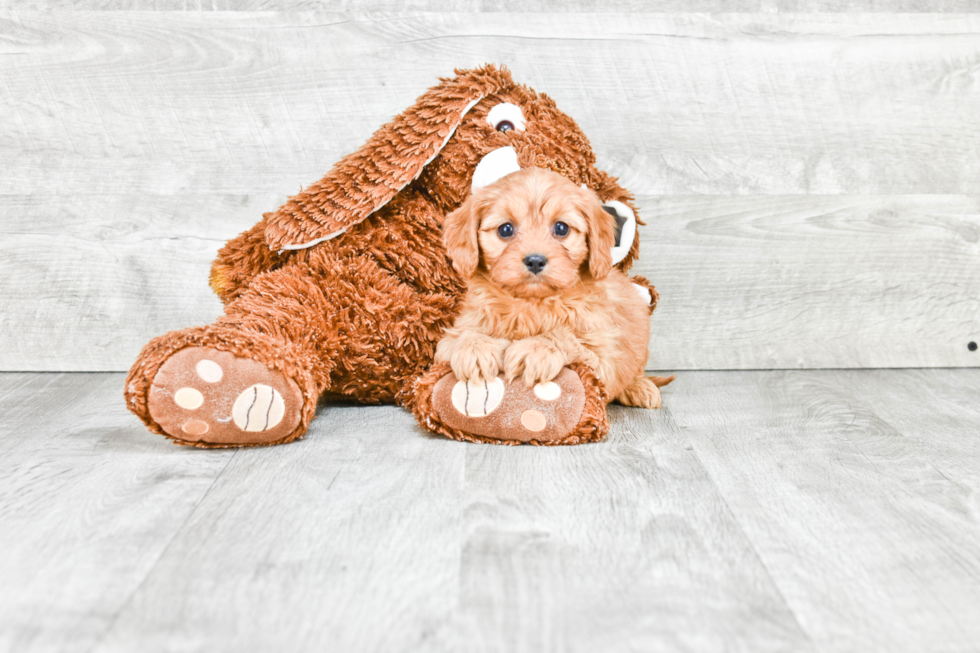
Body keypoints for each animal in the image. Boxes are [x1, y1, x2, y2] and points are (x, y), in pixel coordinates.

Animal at [436, 166, 668, 408]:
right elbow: (462, 336)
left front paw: (536, 348)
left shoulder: (603, 360)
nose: (535, 261)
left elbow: (565, 337)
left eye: (561, 228)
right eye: (505, 229)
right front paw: (474, 347)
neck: (530, 303)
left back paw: (640, 387)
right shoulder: (448, 340)